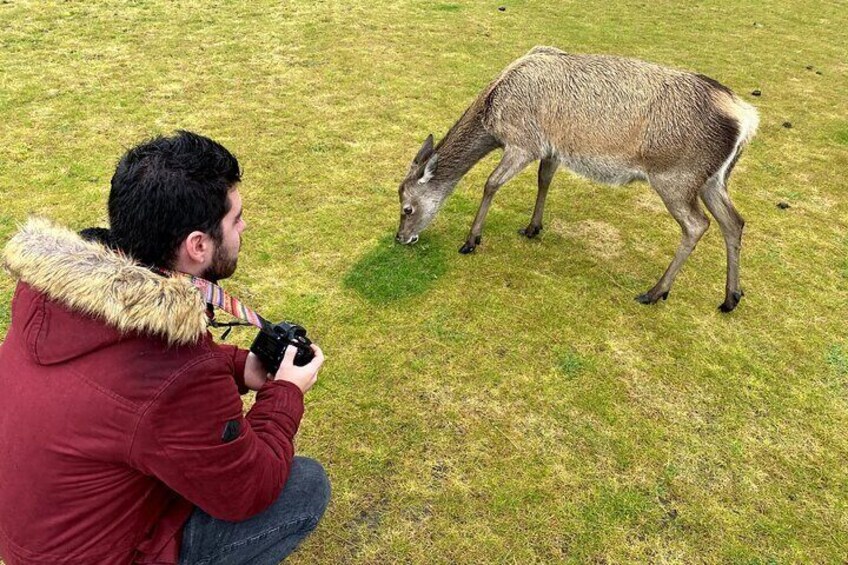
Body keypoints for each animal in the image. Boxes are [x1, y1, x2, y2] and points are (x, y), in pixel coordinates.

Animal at [398, 47, 760, 312]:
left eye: (406, 208)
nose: (400, 238)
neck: (493, 114)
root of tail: (746, 119)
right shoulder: (552, 149)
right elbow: (544, 180)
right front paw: (533, 227)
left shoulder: (524, 142)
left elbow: (491, 183)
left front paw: (471, 240)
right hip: (713, 179)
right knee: (734, 221)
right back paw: (731, 297)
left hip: (676, 176)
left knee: (698, 225)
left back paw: (655, 291)